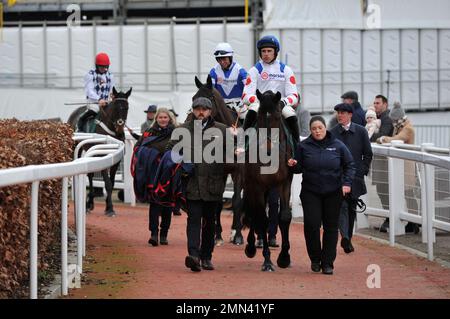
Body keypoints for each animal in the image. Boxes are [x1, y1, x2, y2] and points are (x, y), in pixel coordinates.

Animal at [67, 86, 132, 218]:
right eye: (116, 107)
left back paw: (90, 203)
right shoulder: (103, 155)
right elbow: (107, 183)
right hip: (77, 147)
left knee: (90, 175)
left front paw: (108, 207)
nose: (120, 126)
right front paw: (110, 209)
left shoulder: (115, 159)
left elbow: (111, 182)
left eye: (127, 107)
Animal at [191, 74, 246, 245]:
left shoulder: (239, 171)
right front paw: (217, 235)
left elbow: (237, 200)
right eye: (194, 98)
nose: (196, 117)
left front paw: (238, 235)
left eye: (208, 98)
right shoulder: (219, 171)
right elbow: (217, 202)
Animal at [241, 90, 294, 272]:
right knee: (253, 212)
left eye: (278, 117)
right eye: (260, 117)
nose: (268, 150)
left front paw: (284, 258)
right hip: (251, 186)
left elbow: (284, 217)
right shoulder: (256, 185)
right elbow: (262, 219)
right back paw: (251, 246)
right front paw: (268, 261)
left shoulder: (285, 183)